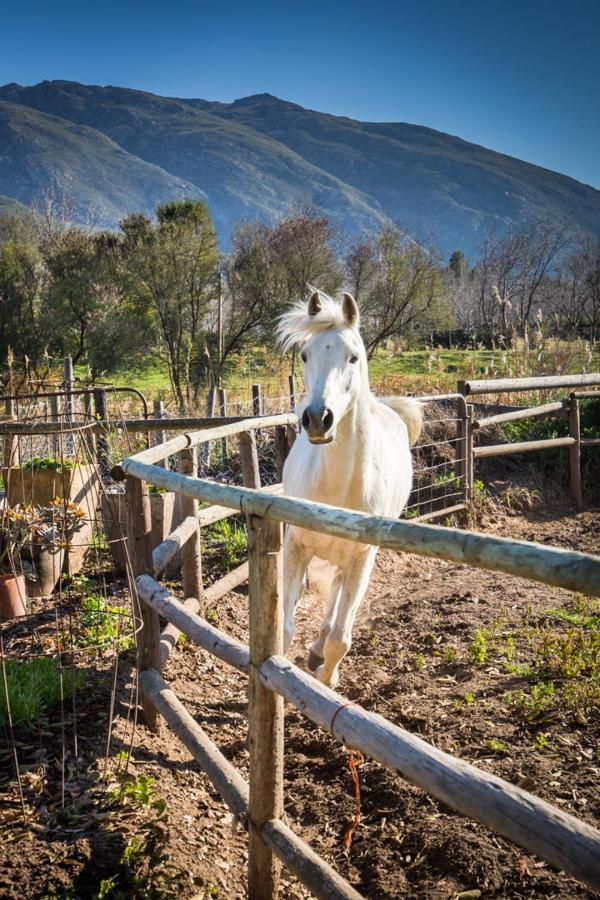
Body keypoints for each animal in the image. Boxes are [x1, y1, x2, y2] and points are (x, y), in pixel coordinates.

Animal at [278, 288, 422, 688]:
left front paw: (327, 682)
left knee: (339, 597)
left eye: (353, 356)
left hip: (353, 560)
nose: (317, 419)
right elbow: (284, 630)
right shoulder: (295, 547)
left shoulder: (363, 558)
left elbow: (341, 639)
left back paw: (318, 649)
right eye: (305, 354)